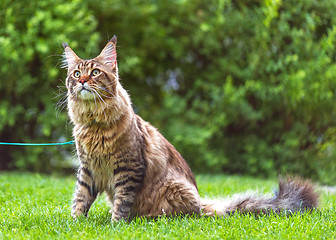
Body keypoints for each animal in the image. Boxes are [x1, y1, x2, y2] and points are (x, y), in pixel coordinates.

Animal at [61, 35, 318, 221]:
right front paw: (76, 222)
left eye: (95, 73)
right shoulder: (88, 168)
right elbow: (81, 197)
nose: (82, 81)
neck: (94, 123)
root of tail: (204, 204)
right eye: (76, 73)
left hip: (173, 190)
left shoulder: (128, 167)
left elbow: (122, 202)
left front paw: (116, 224)